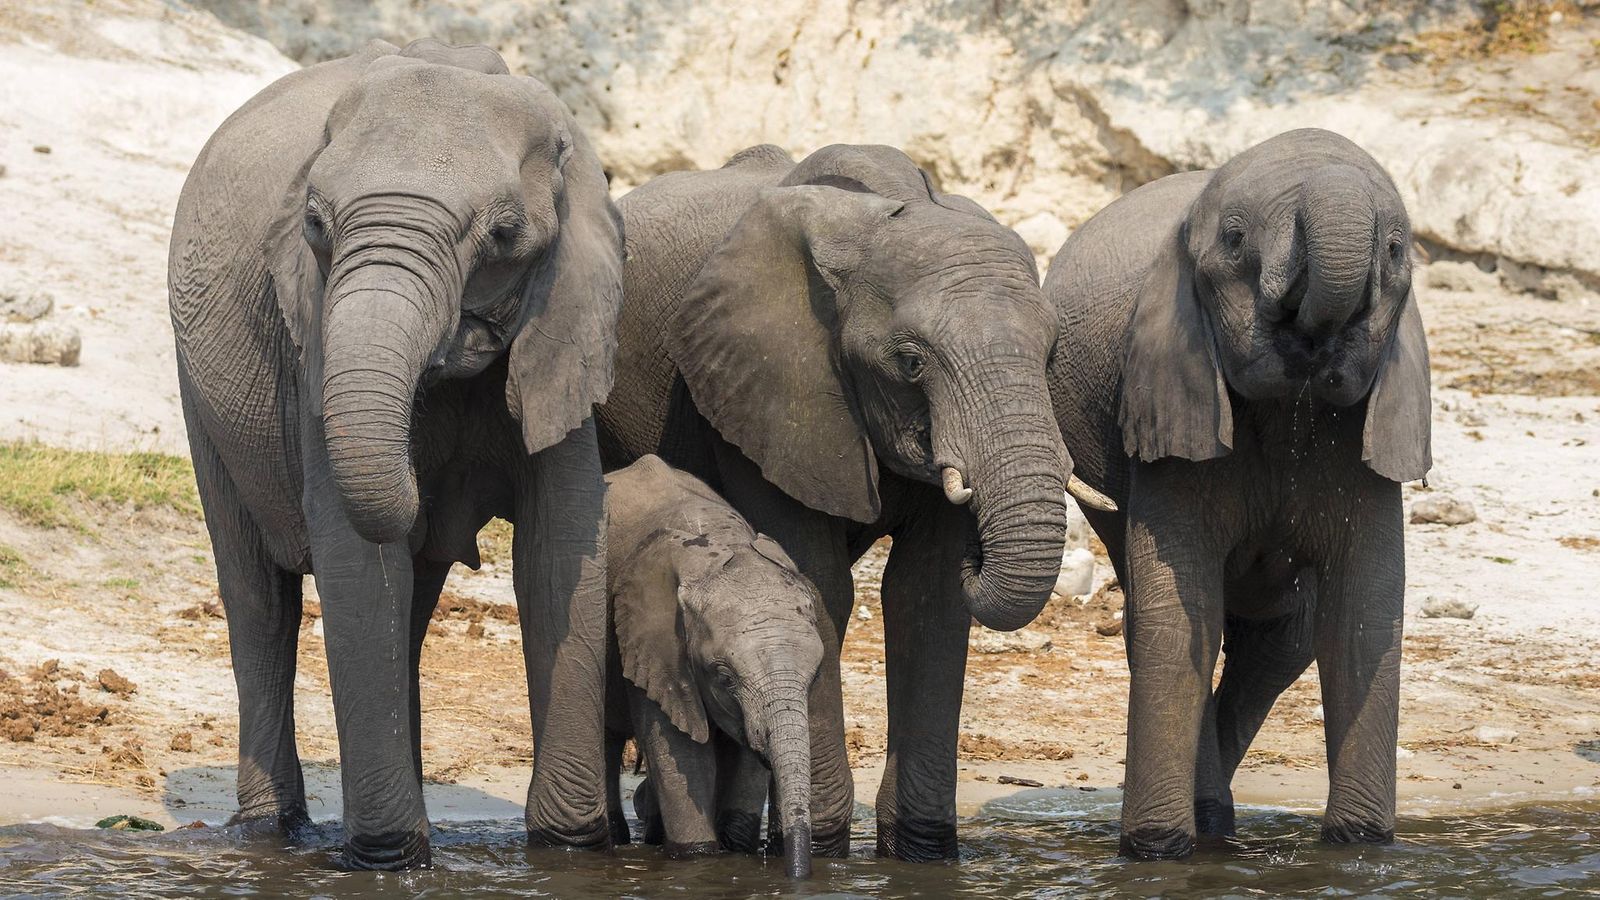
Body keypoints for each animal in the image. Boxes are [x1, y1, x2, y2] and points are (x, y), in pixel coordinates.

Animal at [172, 38, 620, 864]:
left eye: (504, 236)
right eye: (316, 223)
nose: (425, 478)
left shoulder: (568, 318)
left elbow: (561, 545)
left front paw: (570, 849)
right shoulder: (314, 333)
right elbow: (355, 560)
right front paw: (388, 861)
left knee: (405, 607)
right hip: (202, 396)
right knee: (259, 599)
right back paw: (273, 831)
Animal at [601, 451, 825, 871]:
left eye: (815, 675)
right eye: (724, 677)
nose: (797, 870)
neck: (718, 546)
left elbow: (745, 755)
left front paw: (736, 851)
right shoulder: (653, 643)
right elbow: (684, 754)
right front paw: (698, 858)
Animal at [1043, 129, 1433, 858]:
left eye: (1396, 250)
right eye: (1233, 238)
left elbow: (1361, 620)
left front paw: (1360, 848)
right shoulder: (1171, 402)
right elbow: (1178, 617)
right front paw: (1156, 852)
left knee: (1284, 638)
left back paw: (1217, 821)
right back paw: (1207, 824)